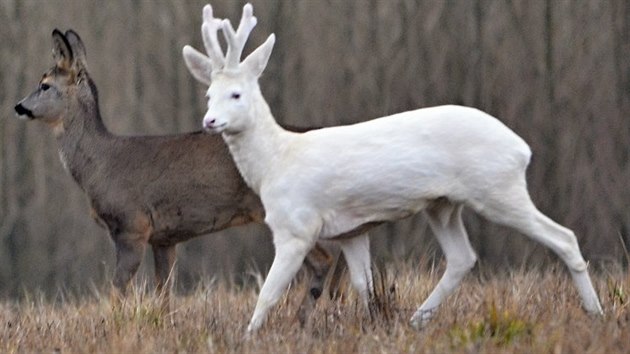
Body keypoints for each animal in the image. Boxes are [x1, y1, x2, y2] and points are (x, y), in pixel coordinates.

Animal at [14, 29, 354, 320]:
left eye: (45, 84)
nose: (19, 106)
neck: (99, 166)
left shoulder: (131, 225)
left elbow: (118, 291)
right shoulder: (164, 238)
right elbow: (163, 294)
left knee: (324, 259)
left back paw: (304, 316)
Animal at [181, 4, 604, 334]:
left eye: (237, 94)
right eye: (208, 94)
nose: (210, 121)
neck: (276, 161)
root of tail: (522, 149)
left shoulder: (296, 227)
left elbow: (268, 293)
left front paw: (248, 336)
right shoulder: (351, 231)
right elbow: (362, 285)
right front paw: (373, 324)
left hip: (497, 188)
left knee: (563, 237)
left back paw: (595, 313)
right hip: (443, 204)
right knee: (462, 257)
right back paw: (417, 320)